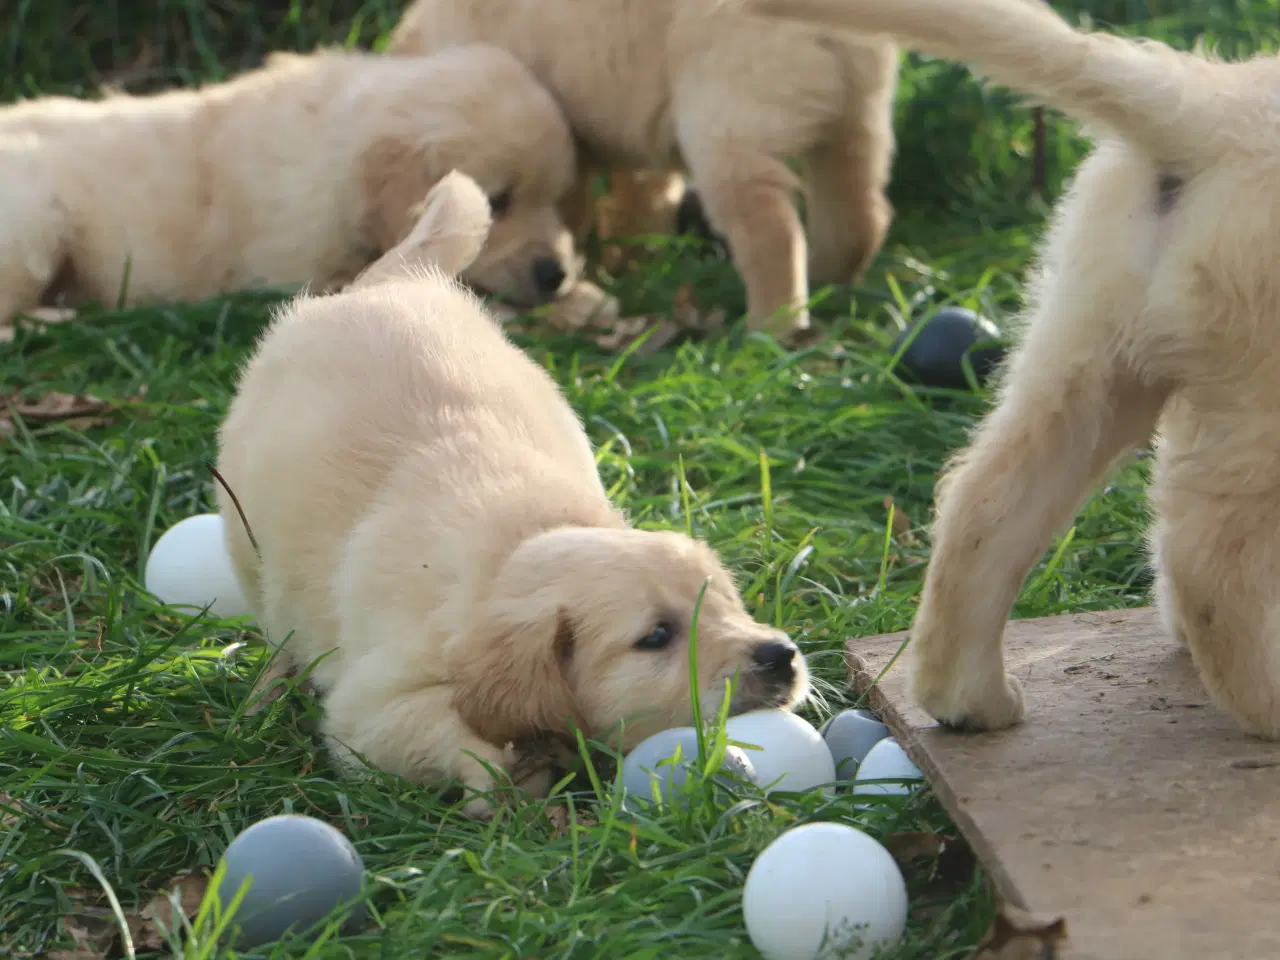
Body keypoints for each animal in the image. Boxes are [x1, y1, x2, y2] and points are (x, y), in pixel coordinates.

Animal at [213, 168, 803, 814]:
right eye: (656, 637)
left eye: (728, 604)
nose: (781, 656)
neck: (515, 551)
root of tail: (391, 280)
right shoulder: (366, 714)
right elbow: (444, 724)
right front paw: (502, 775)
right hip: (245, 534)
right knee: (277, 625)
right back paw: (264, 695)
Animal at [384, 0, 896, 343]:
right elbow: (641, 204)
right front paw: (630, 262)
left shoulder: (567, 141)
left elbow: (572, 212)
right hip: (857, 113)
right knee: (861, 214)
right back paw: (830, 282)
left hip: (728, 123)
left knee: (772, 235)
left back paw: (770, 331)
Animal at [747, 0, 1280, 742]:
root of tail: (1208, 108)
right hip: (1243, 388)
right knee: (1210, 556)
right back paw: (1271, 701)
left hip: (1090, 349)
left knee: (983, 503)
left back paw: (969, 701)